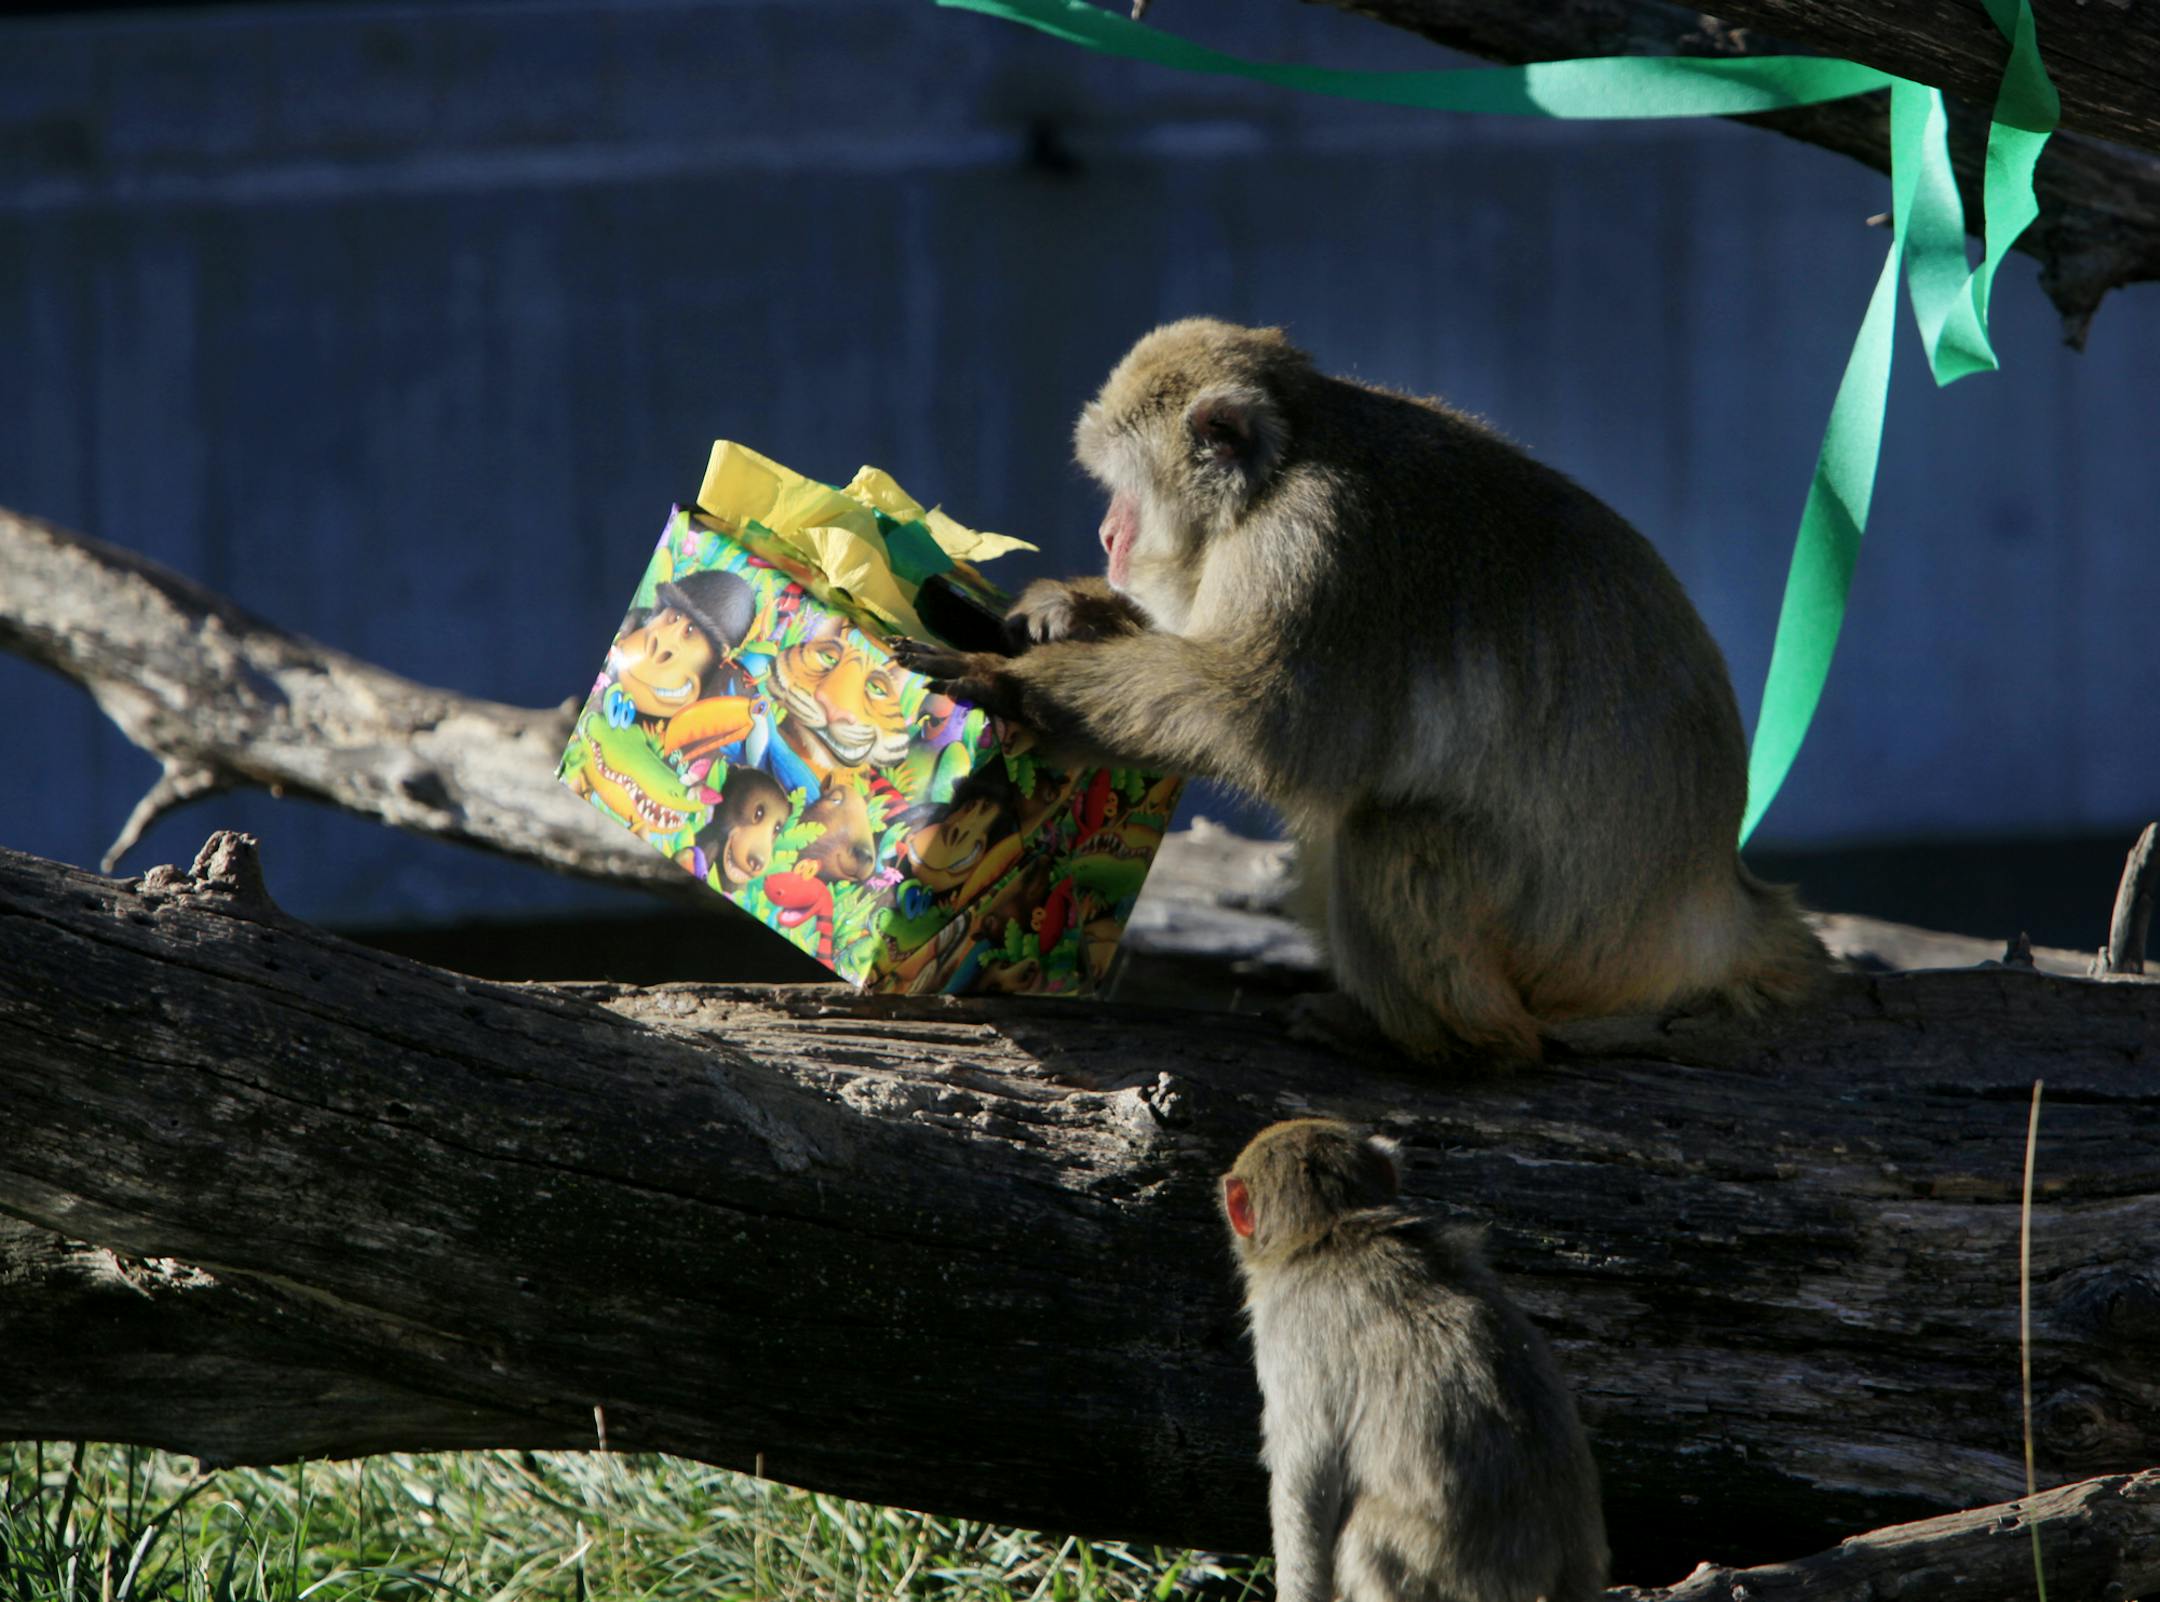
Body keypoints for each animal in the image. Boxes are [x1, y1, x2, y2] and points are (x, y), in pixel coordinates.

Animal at [892, 318, 1824, 1065]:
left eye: (1127, 487)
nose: (1108, 533)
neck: (1287, 464)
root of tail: (1715, 905)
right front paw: (1064, 613)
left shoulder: (1309, 545)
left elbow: (1254, 721)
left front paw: (1017, 686)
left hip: (1578, 945)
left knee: (1388, 833)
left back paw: (1461, 1044)